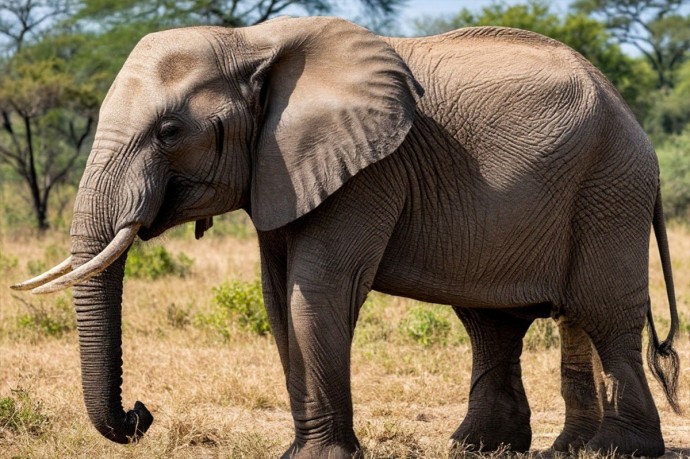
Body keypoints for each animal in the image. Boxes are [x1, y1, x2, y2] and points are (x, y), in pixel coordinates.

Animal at [11, 16, 681, 458]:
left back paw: (617, 451)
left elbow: (317, 292)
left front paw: (320, 458)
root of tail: (632, 119)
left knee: (601, 313)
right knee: (498, 321)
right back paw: (488, 447)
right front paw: (299, 456)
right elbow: (278, 299)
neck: (250, 40)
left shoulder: (369, 169)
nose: (140, 414)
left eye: (170, 131)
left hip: (609, 187)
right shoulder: (282, 168)